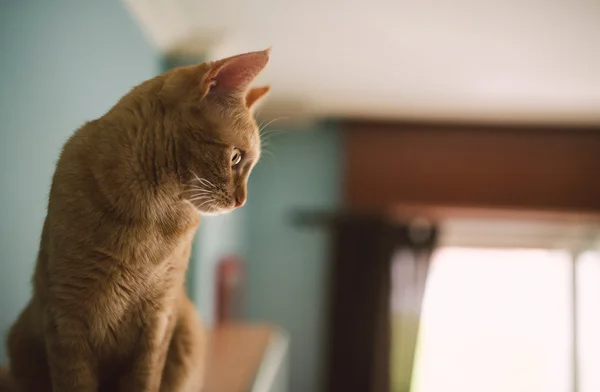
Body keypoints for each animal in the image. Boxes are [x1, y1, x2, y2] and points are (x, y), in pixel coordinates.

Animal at [1, 47, 270, 390]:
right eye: (235, 158)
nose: (241, 201)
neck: (150, 212)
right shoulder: (66, 316)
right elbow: (74, 380)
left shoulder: (158, 322)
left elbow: (145, 379)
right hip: (22, 339)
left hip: (187, 331)